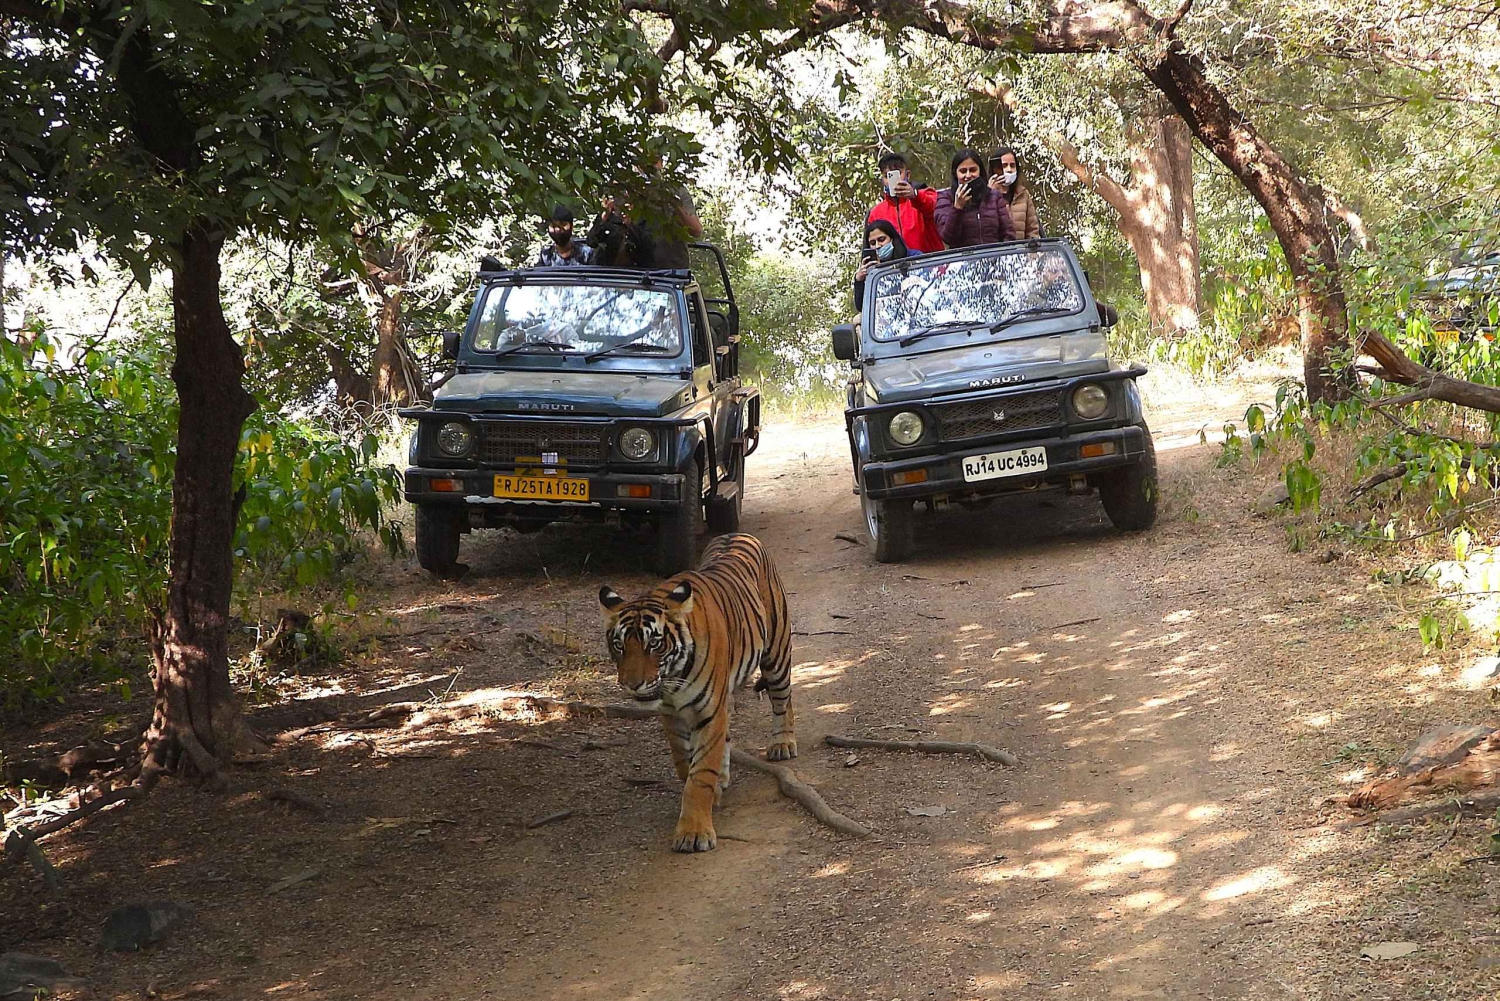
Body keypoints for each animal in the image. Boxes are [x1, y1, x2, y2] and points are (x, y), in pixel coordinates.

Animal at [598, 532, 796, 853]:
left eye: (654, 644)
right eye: (619, 646)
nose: (632, 684)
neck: (674, 677)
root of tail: (737, 533)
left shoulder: (709, 711)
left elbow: (700, 775)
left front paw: (693, 832)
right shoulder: (672, 716)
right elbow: (685, 763)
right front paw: (709, 795)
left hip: (776, 654)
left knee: (783, 701)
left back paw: (783, 744)